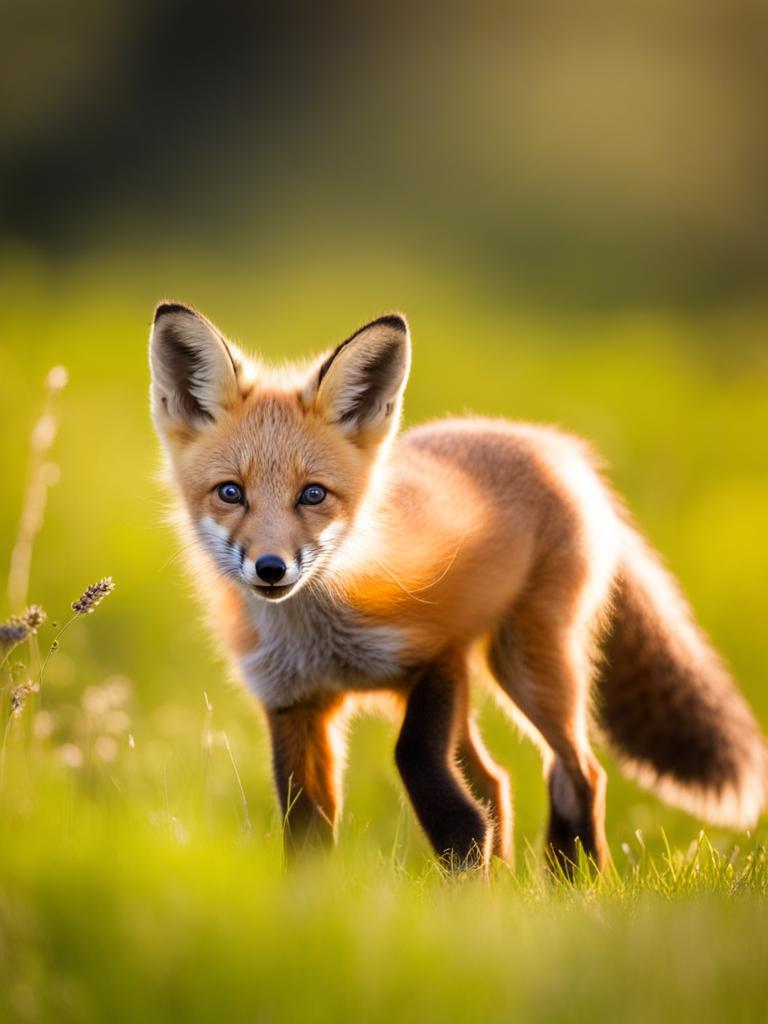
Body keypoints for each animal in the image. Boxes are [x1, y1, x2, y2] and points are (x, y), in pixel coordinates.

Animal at [147, 303, 765, 872]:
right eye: (231, 492)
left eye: (313, 494)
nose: (271, 569)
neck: (323, 638)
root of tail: (553, 444)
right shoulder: (292, 703)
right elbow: (306, 831)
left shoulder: (435, 655)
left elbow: (414, 758)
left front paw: (460, 846)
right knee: (497, 781)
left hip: (528, 665)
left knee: (578, 772)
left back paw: (576, 882)